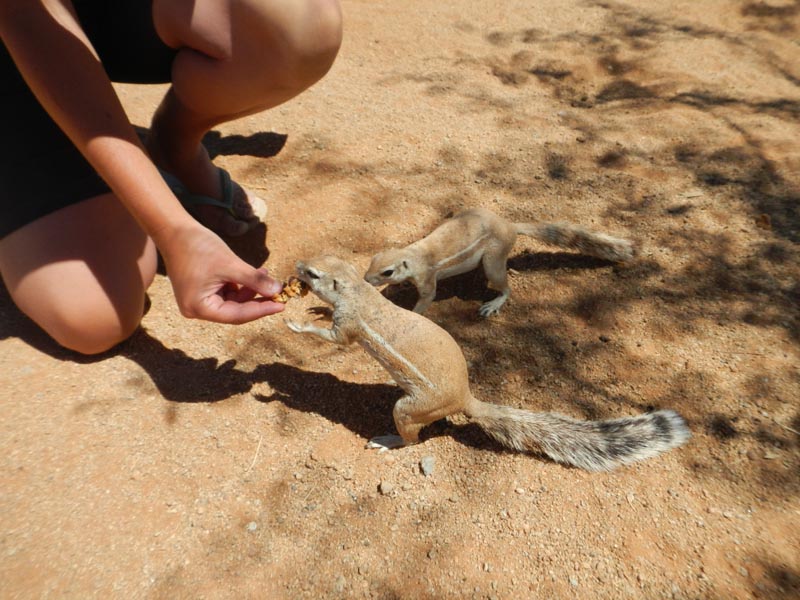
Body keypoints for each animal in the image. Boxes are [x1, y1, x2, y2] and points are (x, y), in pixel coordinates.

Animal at [286, 255, 688, 472]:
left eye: (313, 274)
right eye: (319, 260)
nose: (298, 265)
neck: (358, 290)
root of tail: (465, 399)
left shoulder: (349, 326)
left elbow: (334, 338)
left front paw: (297, 325)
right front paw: (317, 309)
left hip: (409, 408)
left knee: (412, 440)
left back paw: (388, 440)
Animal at [366, 206, 636, 316]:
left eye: (387, 272)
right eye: (372, 260)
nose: (366, 279)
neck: (413, 254)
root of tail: (511, 226)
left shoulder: (427, 279)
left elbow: (425, 301)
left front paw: (411, 312)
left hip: (493, 262)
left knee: (506, 288)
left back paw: (493, 304)